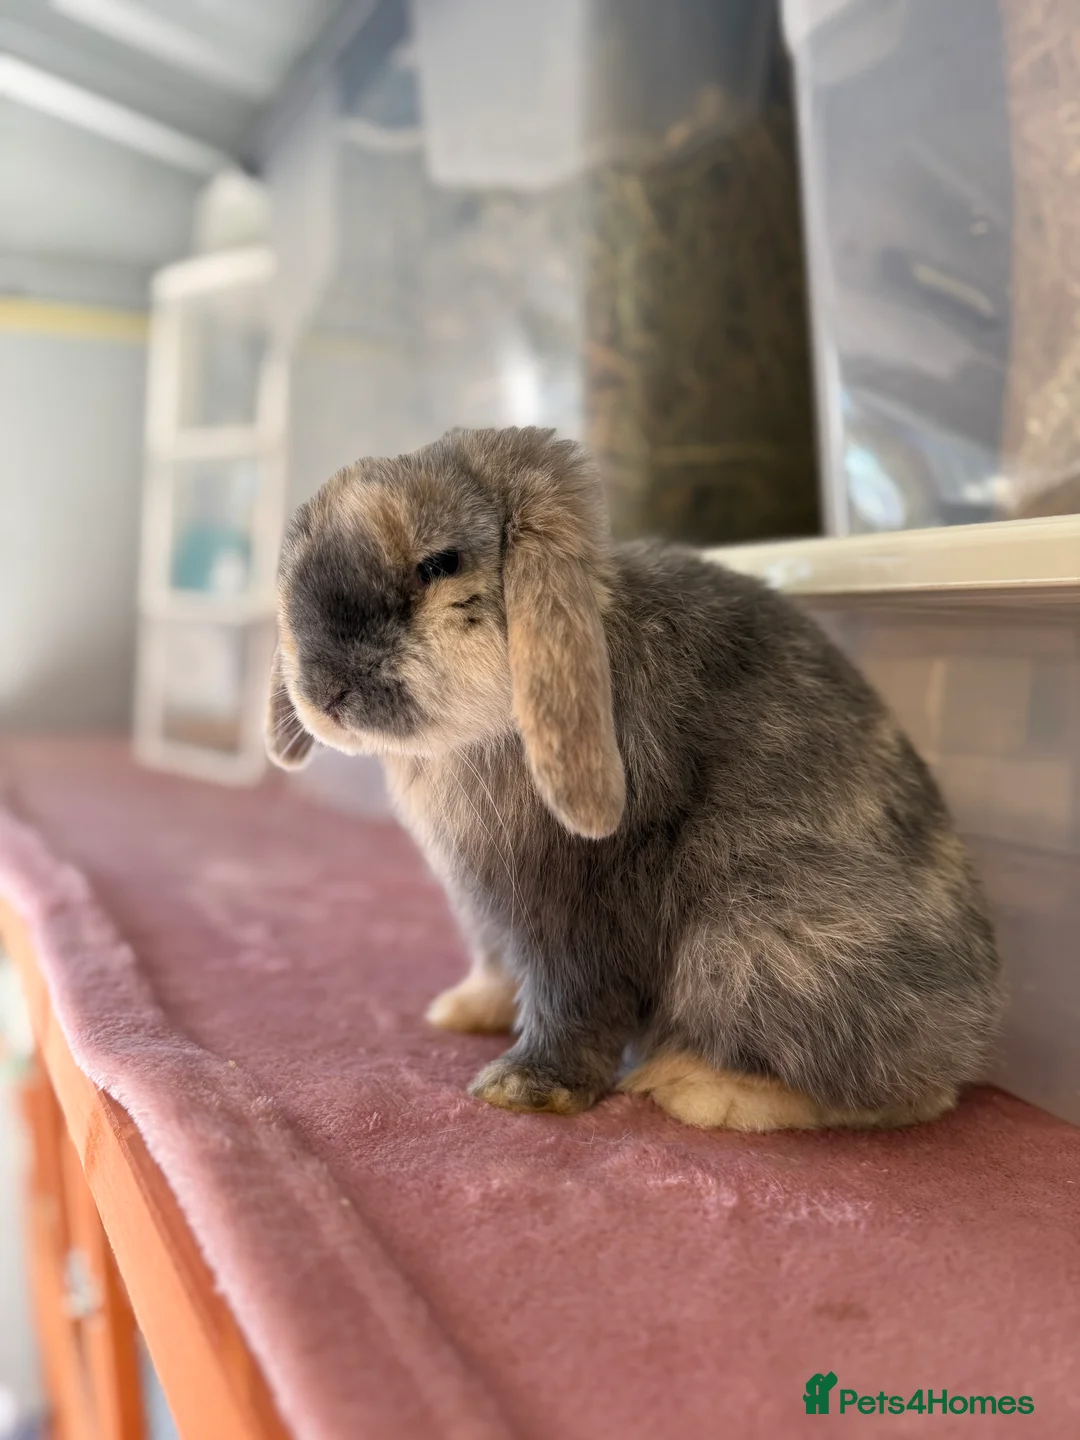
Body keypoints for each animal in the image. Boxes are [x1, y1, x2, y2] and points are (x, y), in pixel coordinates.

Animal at [266, 426, 1003, 1131]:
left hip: (750, 943)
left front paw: (521, 1091)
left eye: (438, 564)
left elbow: (572, 1000)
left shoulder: (571, 909)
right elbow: (498, 967)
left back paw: (702, 1090)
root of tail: (972, 1031)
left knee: (887, 1093)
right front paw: (464, 1011)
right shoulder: (488, 910)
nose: (325, 691)